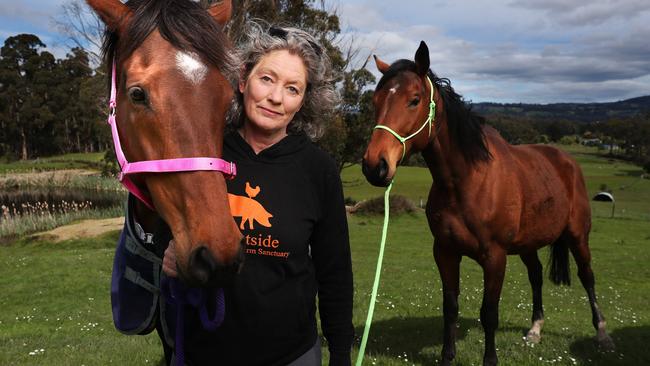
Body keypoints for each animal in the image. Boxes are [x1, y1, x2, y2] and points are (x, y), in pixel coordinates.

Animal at [362, 41, 616, 364]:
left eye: (414, 100)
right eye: (376, 100)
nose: (375, 166)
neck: (466, 182)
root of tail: (566, 161)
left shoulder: (494, 257)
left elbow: (489, 313)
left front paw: (489, 359)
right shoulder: (445, 252)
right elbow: (450, 308)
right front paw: (448, 357)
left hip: (577, 236)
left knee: (587, 277)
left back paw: (603, 334)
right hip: (528, 244)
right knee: (536, 276)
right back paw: (535, 330)